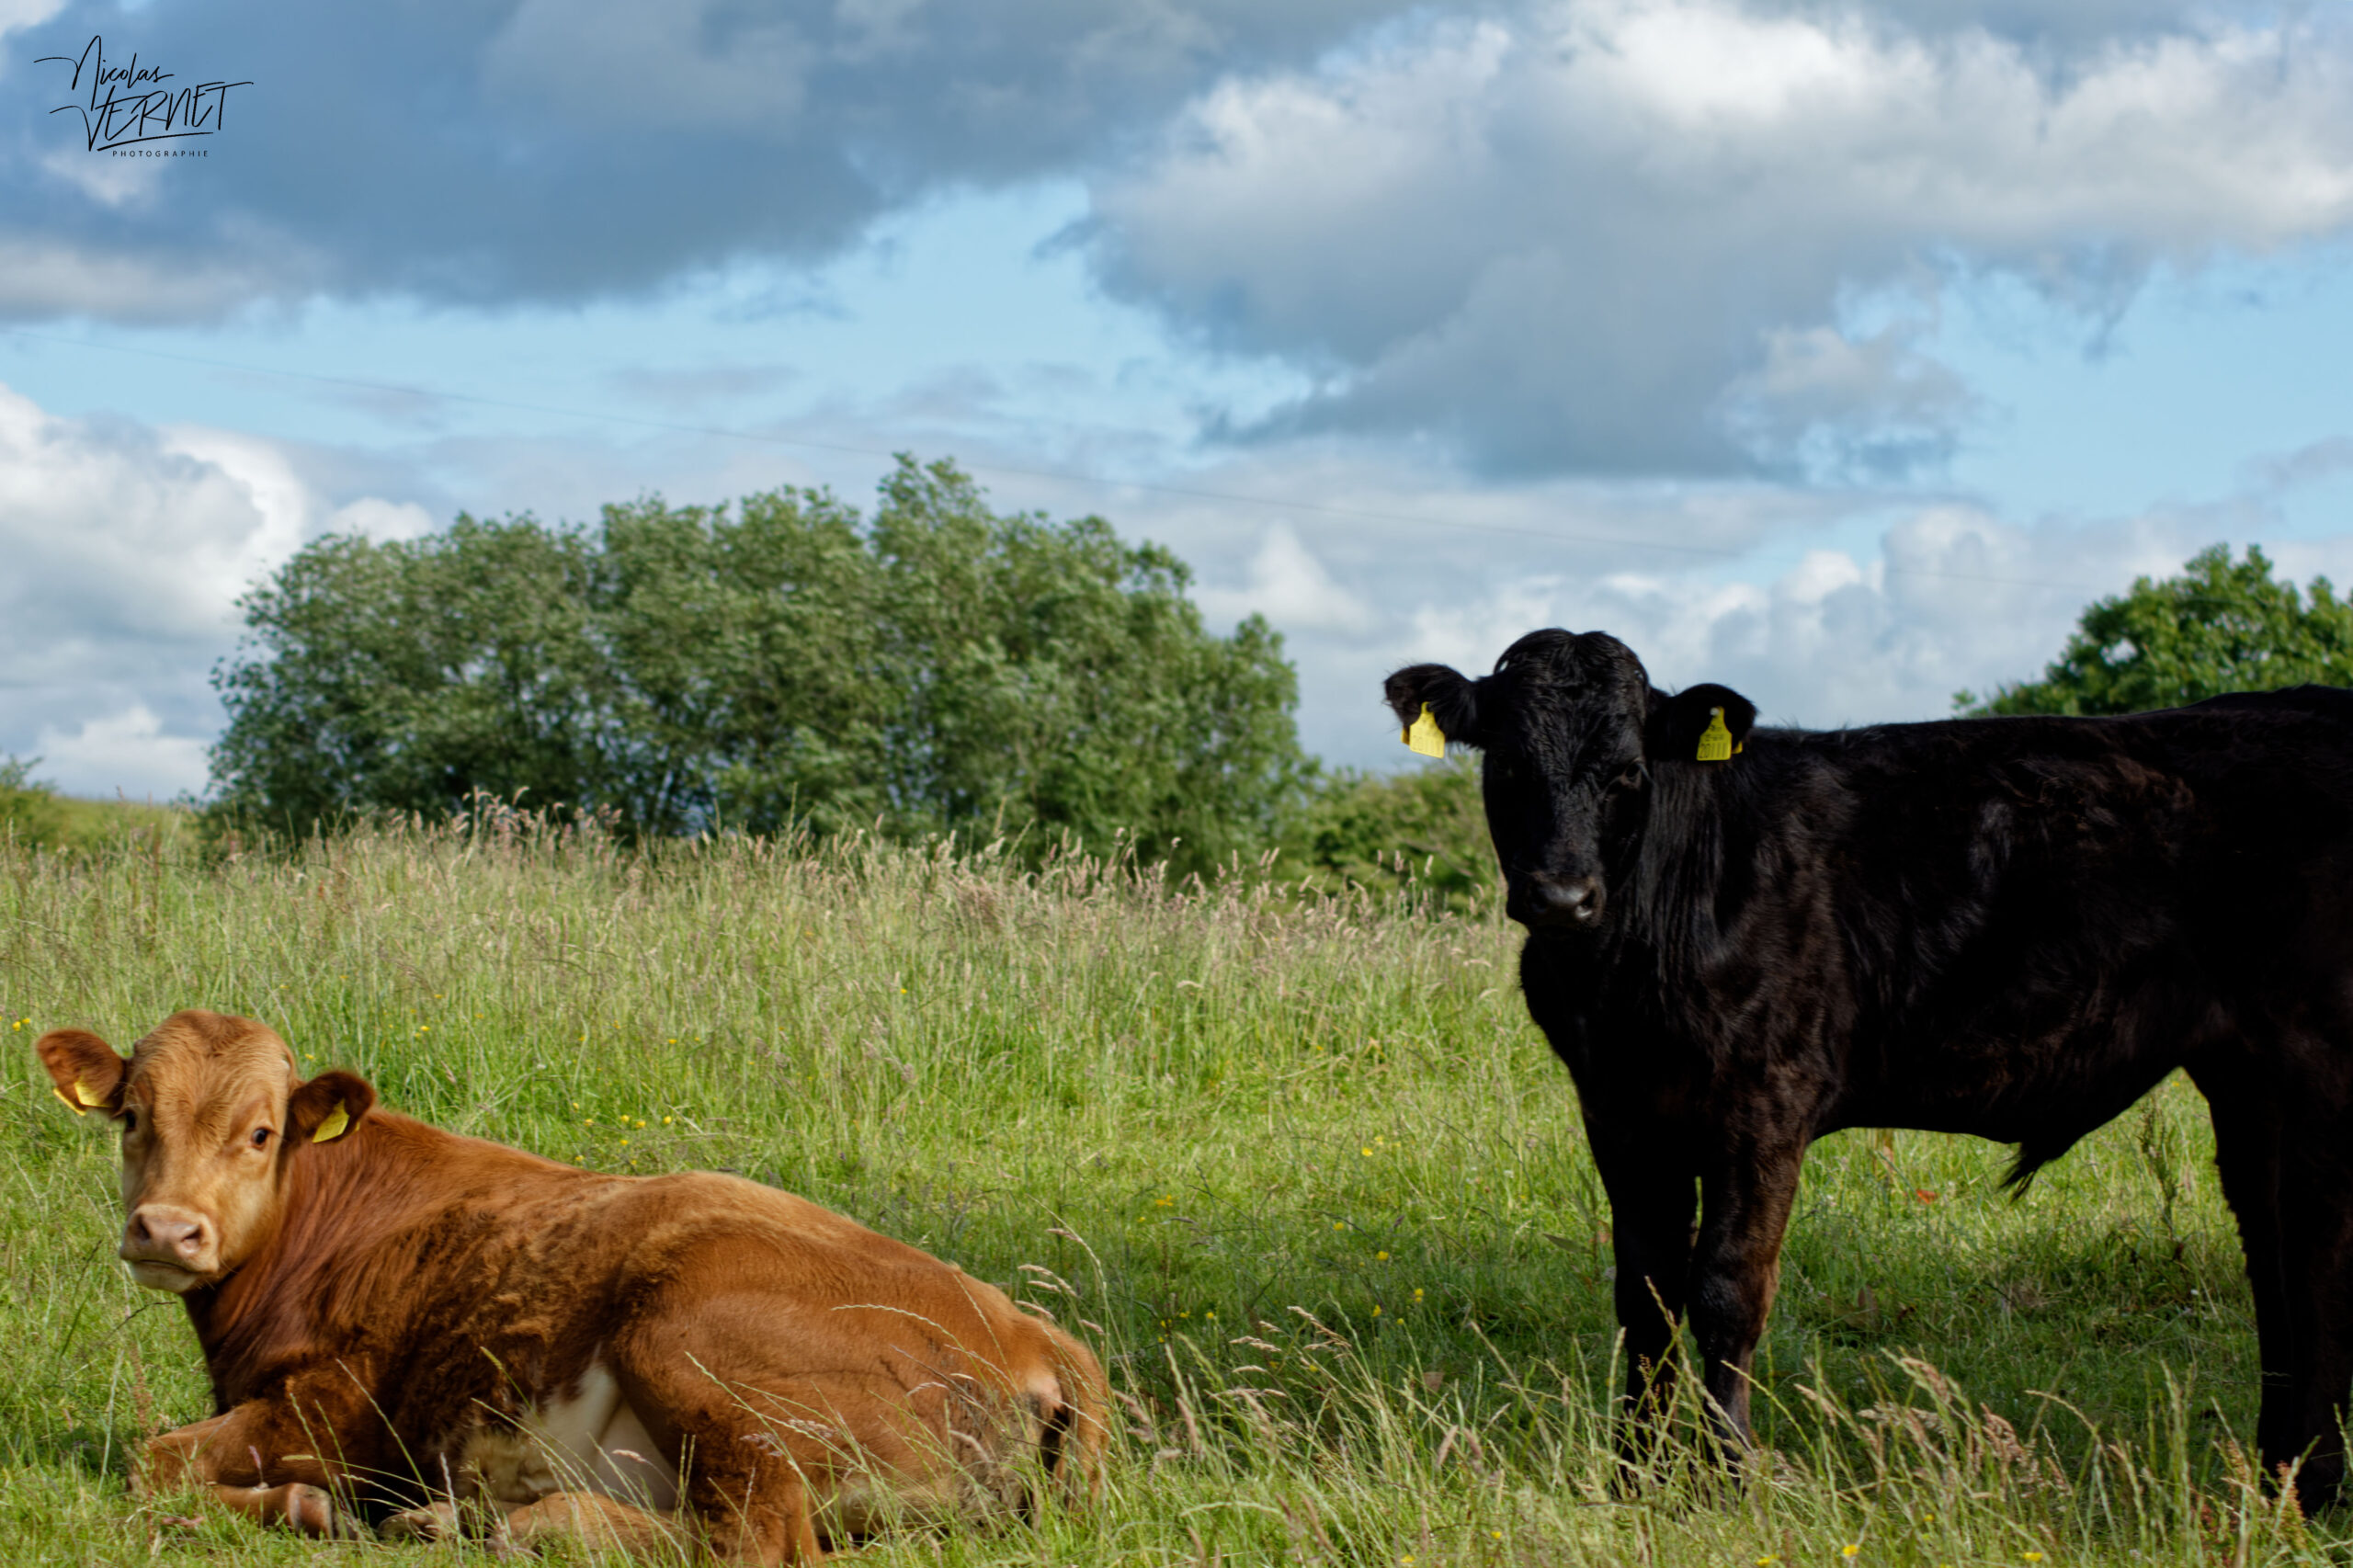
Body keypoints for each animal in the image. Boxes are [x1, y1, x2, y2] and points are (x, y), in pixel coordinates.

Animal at [36, 1010, 1104, 1561]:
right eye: (130, 1116)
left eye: (260, 1132)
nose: (167, 1228)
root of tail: (1030, 1327)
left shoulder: (328, 1412)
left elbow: (152, 1462)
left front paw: (311, 1509)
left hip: (689, 1345)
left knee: (749, 1540)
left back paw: (521, 1522)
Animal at [1386, 628, 2353, 1503]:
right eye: (1508, 765)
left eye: (1627, 771)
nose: (1560, 895)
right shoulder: (1619, 1108)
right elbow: (1646, 1292)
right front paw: (1634, 1475)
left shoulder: (1765, 1100)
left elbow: (1726, 1289)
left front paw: (1725, 1478)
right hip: (2244, 1071)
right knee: (2268, 1238)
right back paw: (2274, 1469)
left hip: (2316, 1053)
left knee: (2317, 1244)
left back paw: (2315, 1482)